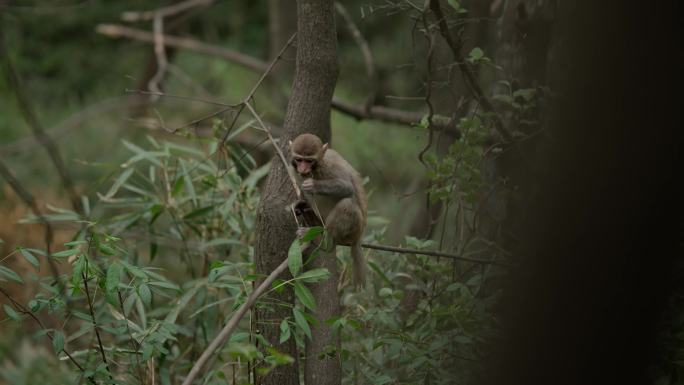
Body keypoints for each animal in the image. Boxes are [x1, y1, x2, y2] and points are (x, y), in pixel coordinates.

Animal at [288, 132, 368, 284]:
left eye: (309, 161)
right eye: (299, 160)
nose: (303, 169)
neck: (317, 168)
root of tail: (358, 236)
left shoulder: (330, 167)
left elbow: (348, 188)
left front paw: (314, 185)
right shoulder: (295, 172)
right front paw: (299, 204)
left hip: (353, 230)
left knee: (347, 204)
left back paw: (326, 243)